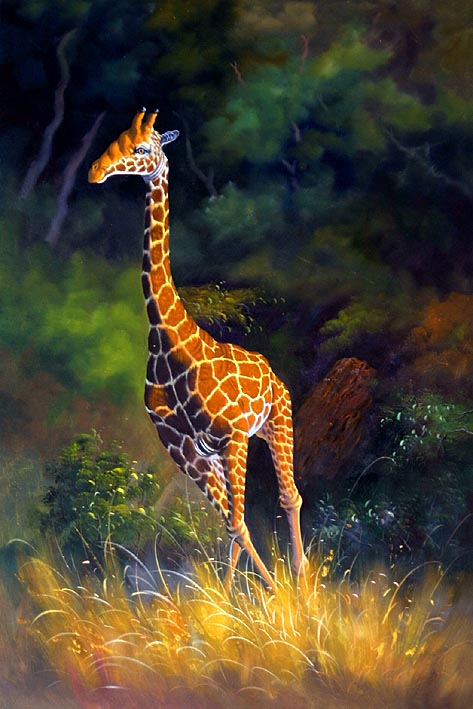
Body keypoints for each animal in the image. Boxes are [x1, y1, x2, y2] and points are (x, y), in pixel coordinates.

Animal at [88, 108, 308, 591]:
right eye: (115, 138)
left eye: (141, 148)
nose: (95, 172)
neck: (169, 337)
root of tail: (272, 373)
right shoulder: (182, 446)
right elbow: (232, 523)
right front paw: (231, 603)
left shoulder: (230, 436)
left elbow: (240, 521)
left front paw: (272, 594)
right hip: (228, 448)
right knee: (242, 516)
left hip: (275, 422)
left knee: (291, 496)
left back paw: (301, 581)